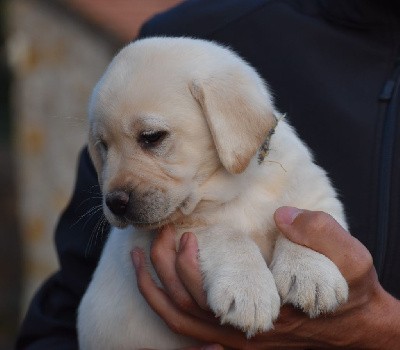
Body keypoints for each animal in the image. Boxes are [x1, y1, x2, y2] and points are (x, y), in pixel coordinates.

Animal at [77, 37, 346, 348]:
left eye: (151, 137)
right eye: (103, 146)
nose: (115, 203)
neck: (237, 188)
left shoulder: (312, 189)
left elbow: (303, 218)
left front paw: (311, 274)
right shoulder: (177, 232)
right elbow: (227, 235)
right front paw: (248, 290)